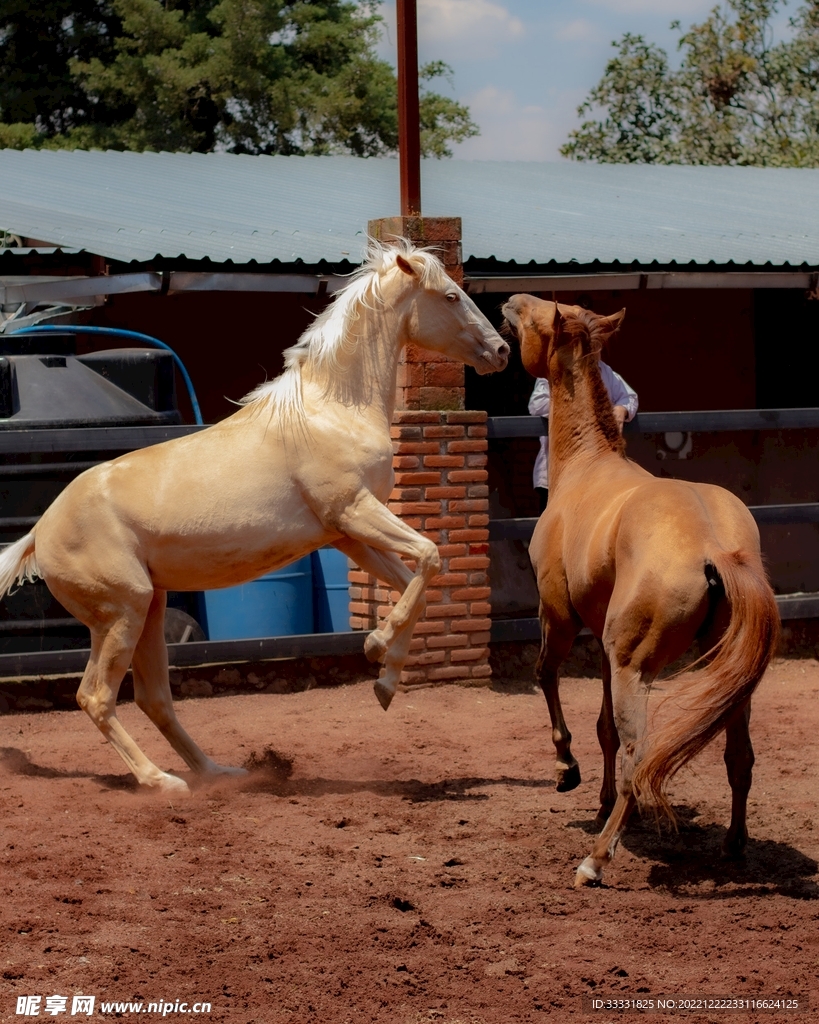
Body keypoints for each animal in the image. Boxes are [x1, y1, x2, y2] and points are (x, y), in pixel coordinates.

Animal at [0, 240, 509, 795]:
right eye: (451, 295)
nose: (501, 350)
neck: (333, 410)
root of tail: (39, 532)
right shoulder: (355, 512)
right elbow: (430, 557)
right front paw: (376, 647)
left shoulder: (345, 535)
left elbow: (415, 583)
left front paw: (386, 680)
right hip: (122, 612)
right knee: (96, 697)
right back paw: (162, 783)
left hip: (149, 607)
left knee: (155, 700)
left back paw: (216, 773)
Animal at [501, 295, 779, 888]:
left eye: (539, 314)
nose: (511, 301)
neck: (586, 467)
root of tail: (714, 545)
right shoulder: (603, 645)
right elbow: (603, 726)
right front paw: (599, 797)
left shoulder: (559, 618)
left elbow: (546, 678)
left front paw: (566, 768)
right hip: (725, 676)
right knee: (739, 759)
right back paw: (734, 845)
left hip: (635, 668)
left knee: (639, 757)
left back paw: (595, 860)